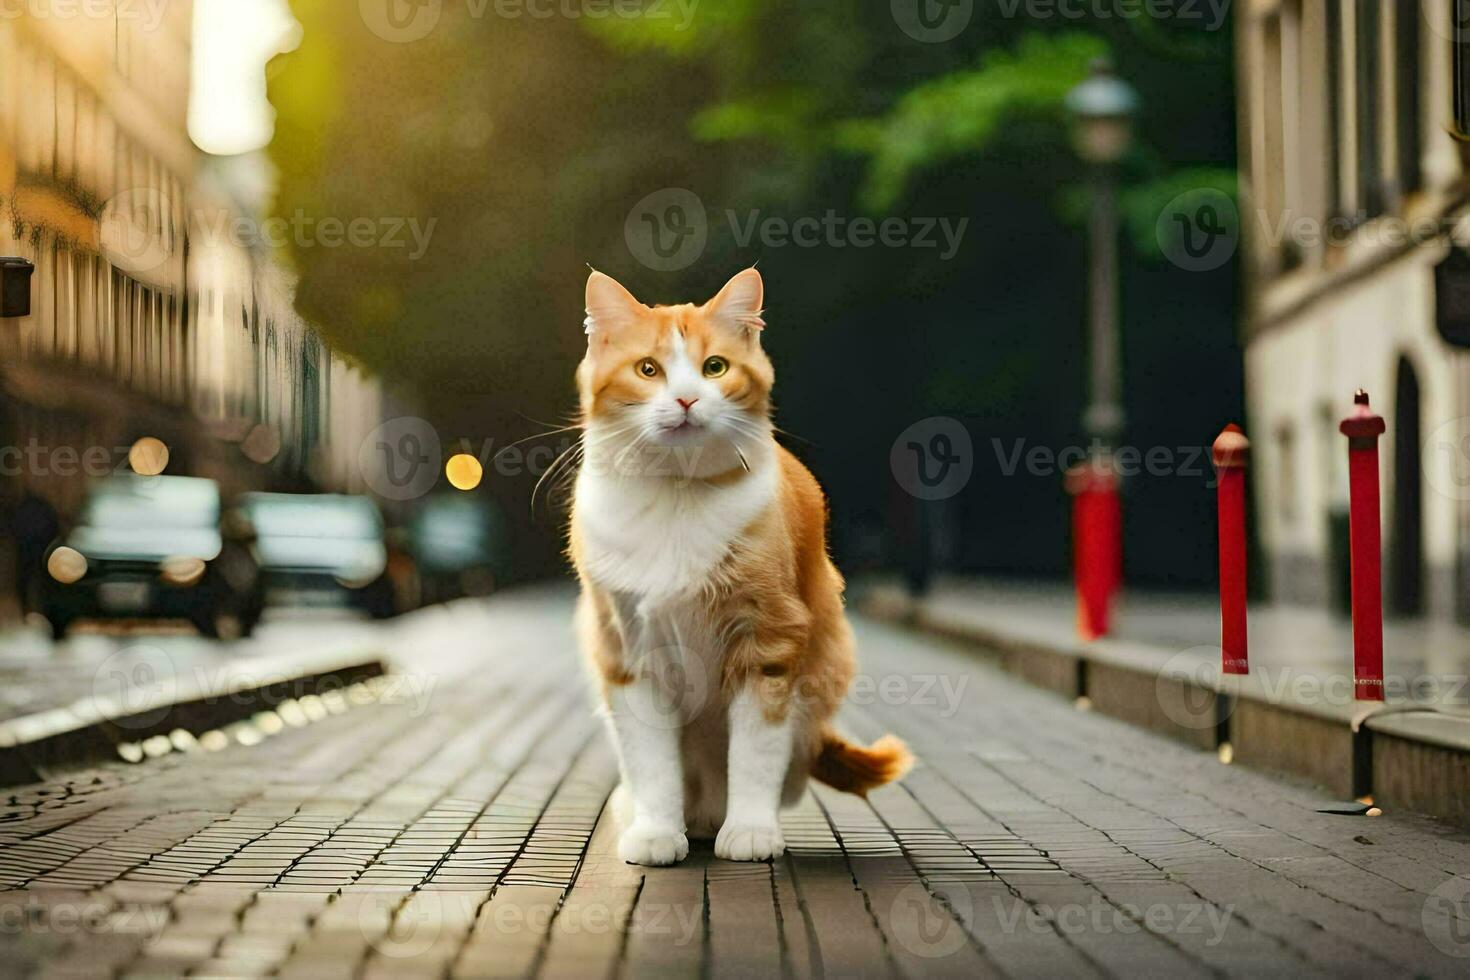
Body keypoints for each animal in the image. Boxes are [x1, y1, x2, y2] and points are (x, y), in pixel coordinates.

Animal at [570, 268, 905, 863]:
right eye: (648, 370)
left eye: (715, 368)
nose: (685, 398)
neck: (676, 498)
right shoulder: (626, 653)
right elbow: (651, 763)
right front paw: (656, 831)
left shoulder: (768, 641)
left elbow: (754, 753)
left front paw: (749, 830)